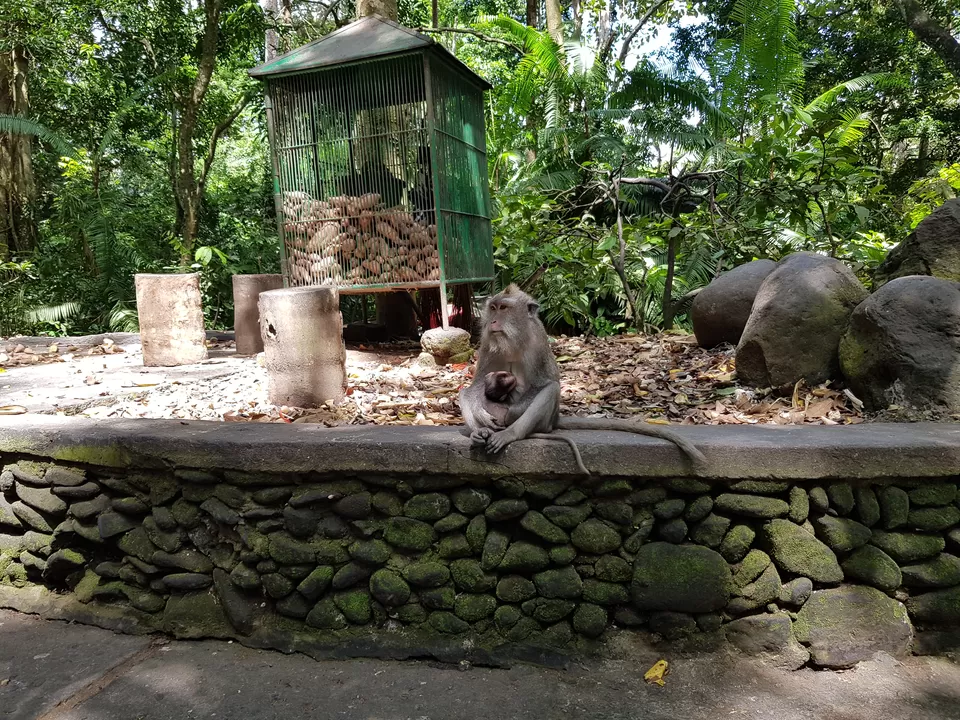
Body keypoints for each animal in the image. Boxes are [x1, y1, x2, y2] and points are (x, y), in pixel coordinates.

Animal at [459, 284, 707, 475]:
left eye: (504, 308)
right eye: (492, 308)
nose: (492, 322)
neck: (515, 339)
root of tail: (554, 421)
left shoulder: (538, 343)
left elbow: (545, 383)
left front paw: (508, 413)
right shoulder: (487, 343)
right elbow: (476, 385)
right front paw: (481, 412)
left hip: (545, 422)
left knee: (550, 390)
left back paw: (510, 433)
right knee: (464, 393)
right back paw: (479, 433)